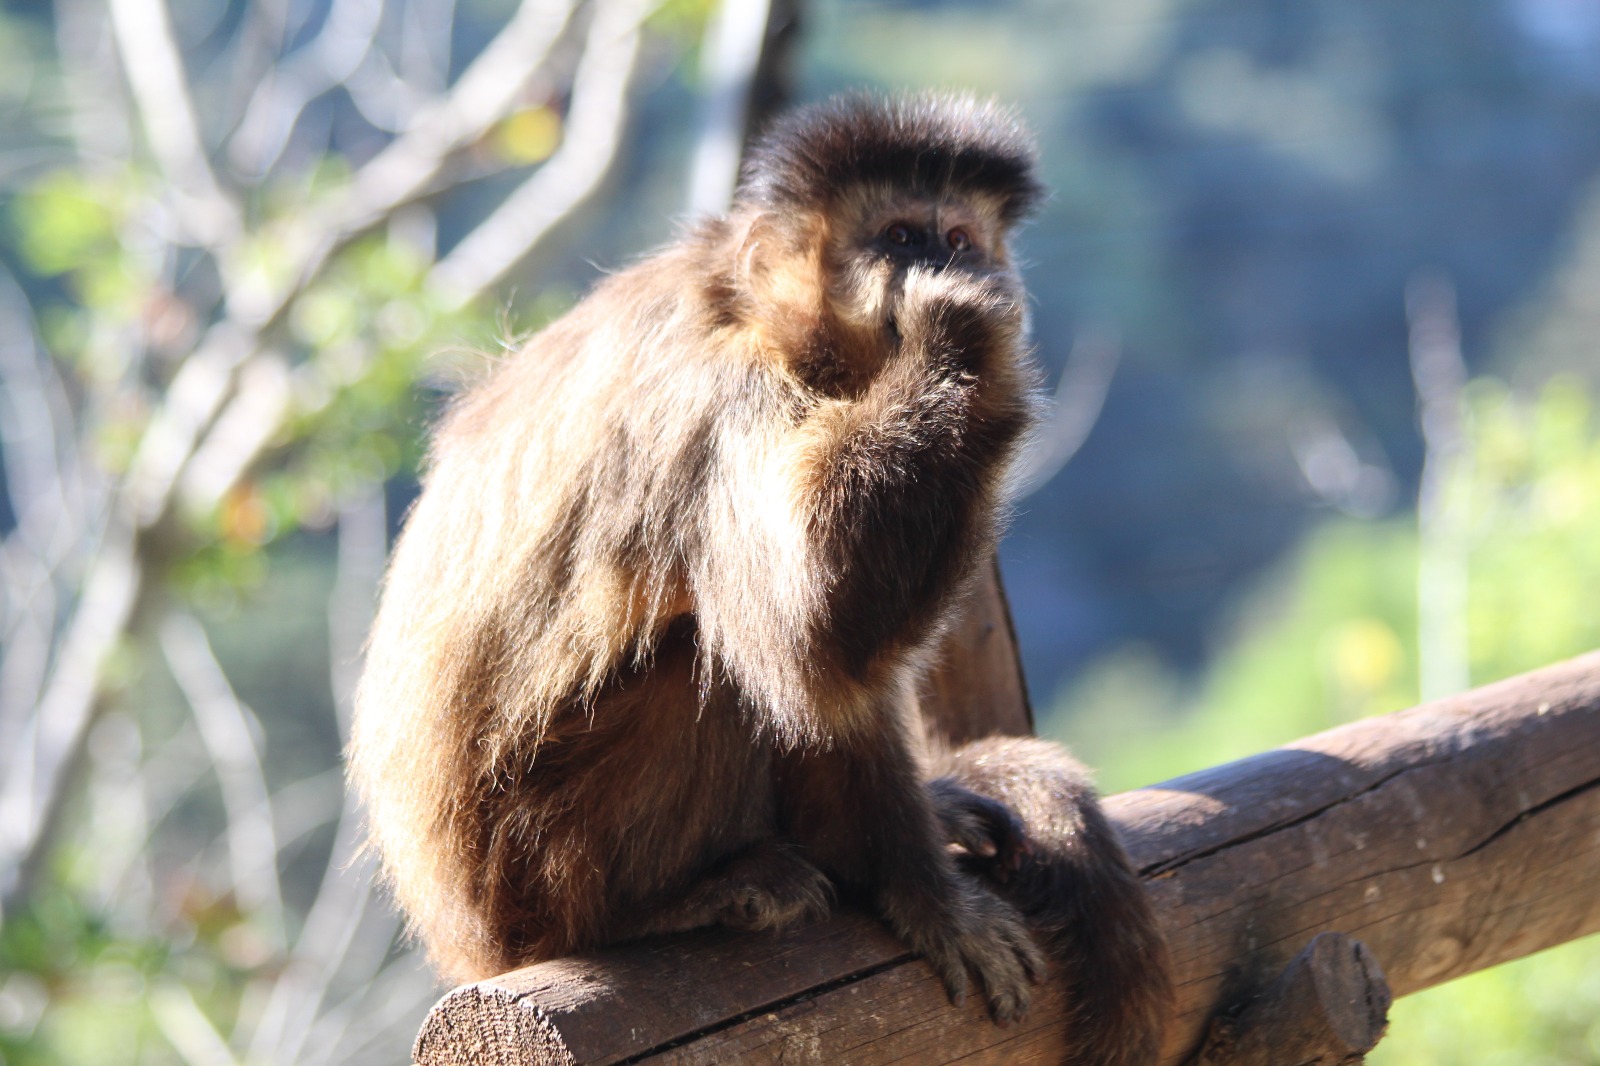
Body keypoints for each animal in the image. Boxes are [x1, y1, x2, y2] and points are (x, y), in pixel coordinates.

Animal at [348, 92, 1170, 1059]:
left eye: (961, 237)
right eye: (900, 237)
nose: (950, 264)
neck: (754, 312)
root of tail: (465, 940)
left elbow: (833, 658)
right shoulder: (716, 387)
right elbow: (814, 645)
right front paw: (924, 893)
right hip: (535, 876)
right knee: (720, 662)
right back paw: (664, 907)